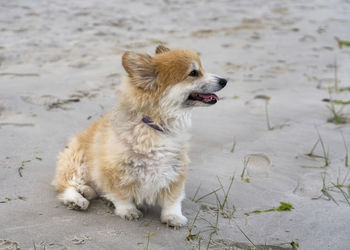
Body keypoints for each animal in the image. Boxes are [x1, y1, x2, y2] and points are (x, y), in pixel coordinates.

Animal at [52, 45, 227, 227]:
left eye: (201, 69)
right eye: (193, 73)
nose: (224, 80)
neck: (155, 127)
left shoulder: (175, 169)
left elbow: (173, 199)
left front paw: (173, 216)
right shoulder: (114, 171)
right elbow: (121, 195)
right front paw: (128, 211)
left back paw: (87, 191)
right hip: (76, 162)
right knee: (67, 184)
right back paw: (77, 199)